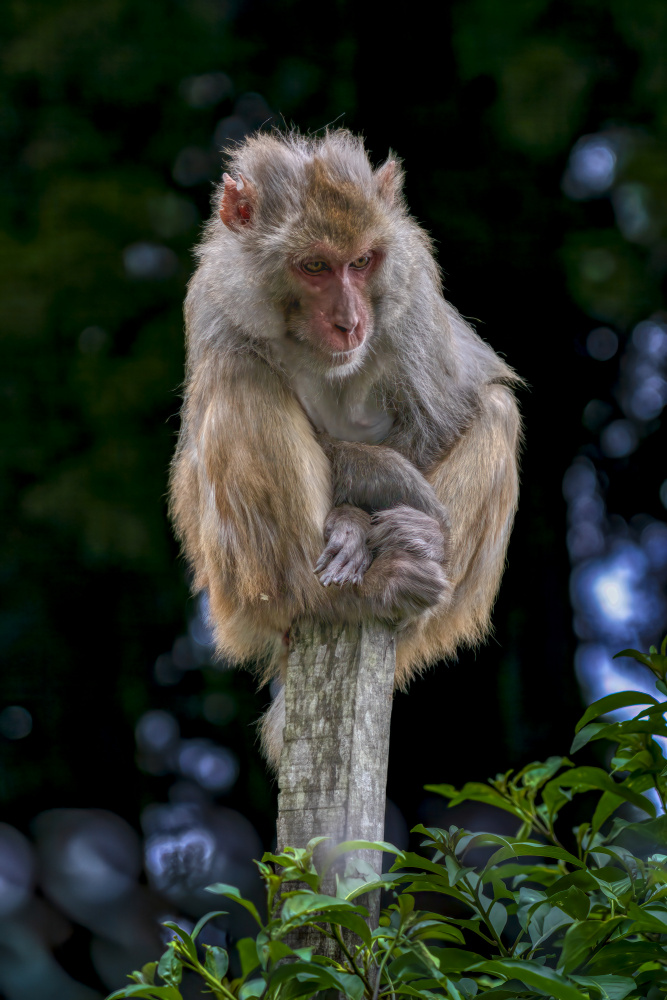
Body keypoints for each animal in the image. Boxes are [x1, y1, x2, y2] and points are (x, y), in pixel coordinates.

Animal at [170, 127, 524, 764]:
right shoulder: (213, 300)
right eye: (314, 266)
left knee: (498, 412)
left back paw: (408, 555)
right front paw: (363, 511)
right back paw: (340, 594)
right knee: (239, 374)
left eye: (361, 263)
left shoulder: (412, 288)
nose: (350, 322)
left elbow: (444, 413)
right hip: (233, 591)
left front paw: (389, 520)